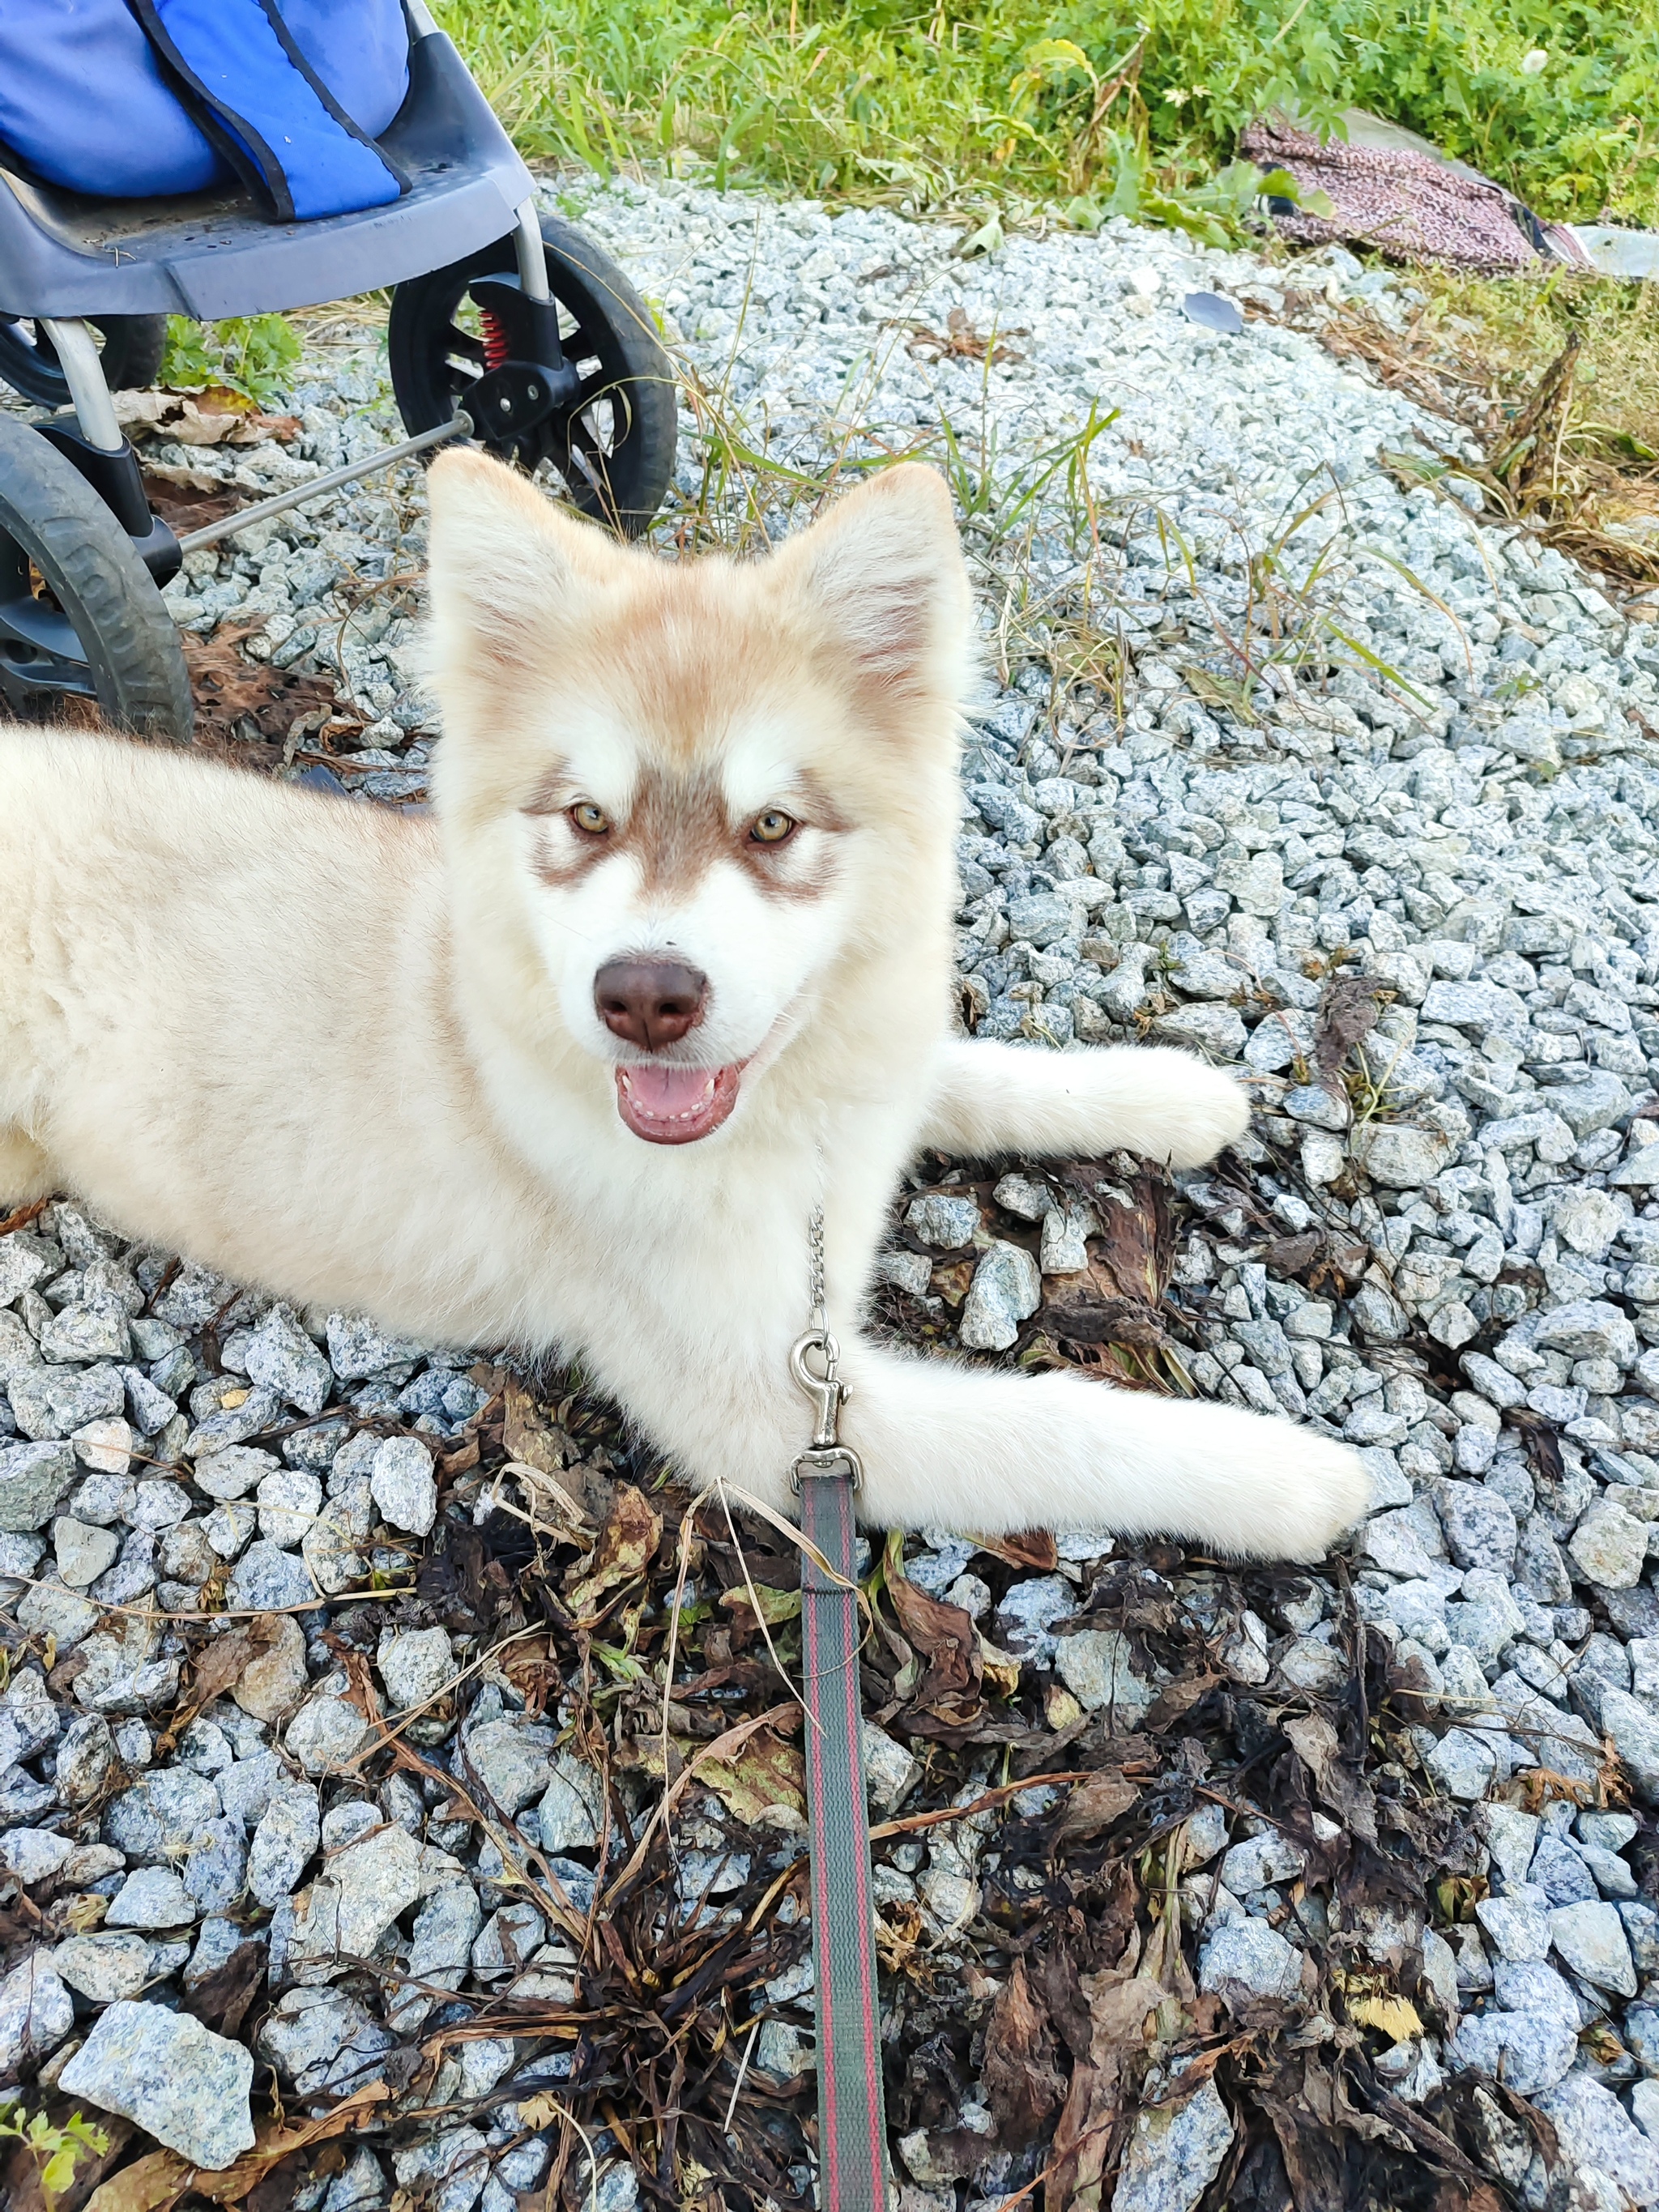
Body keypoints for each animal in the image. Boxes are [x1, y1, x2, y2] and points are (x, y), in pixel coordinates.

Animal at [0, 449, 1371, 1557]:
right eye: (586, 818)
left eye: (771, 825)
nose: (645, 999)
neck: (782, 1132)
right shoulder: (780, 1415)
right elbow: (1061, 1428)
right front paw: (1281, 1472)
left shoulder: (865, 1076)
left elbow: (973, 1067)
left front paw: (1167, 1093)